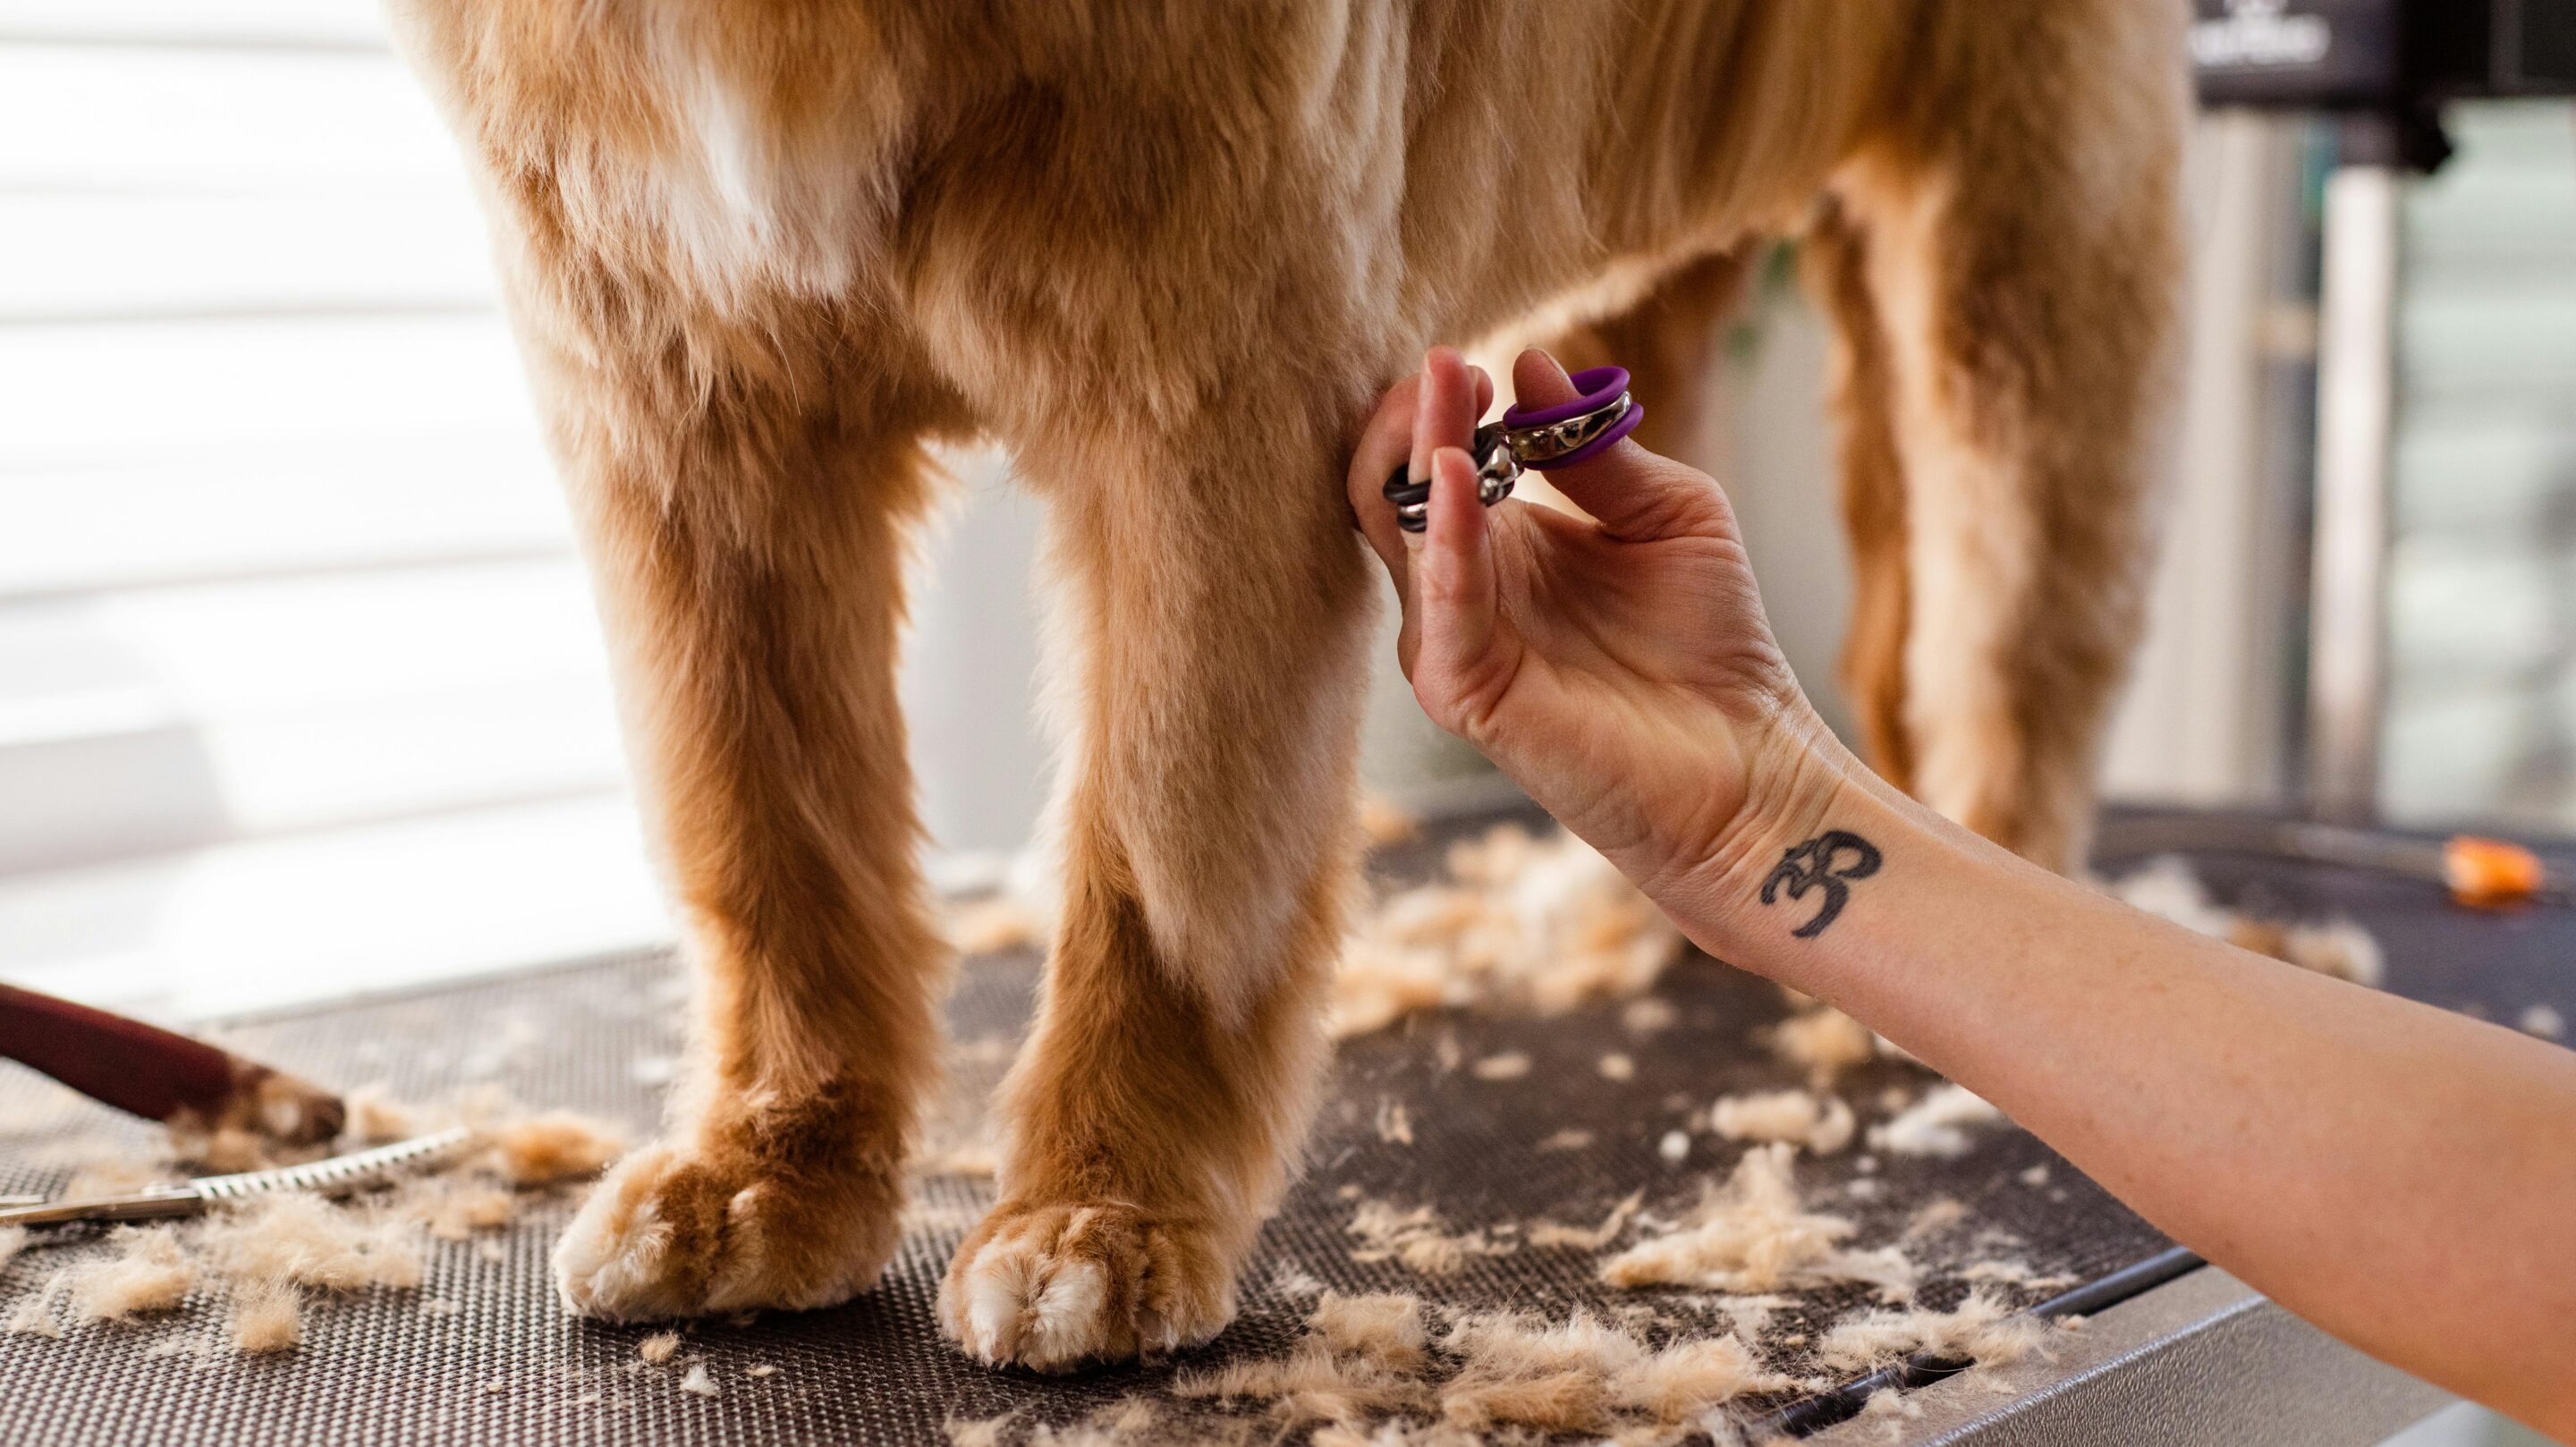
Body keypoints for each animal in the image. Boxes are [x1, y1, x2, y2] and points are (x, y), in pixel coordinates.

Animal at [386, 0, 2174, 1359]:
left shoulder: (1211, 385)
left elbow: (1167, 853)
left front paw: (1102, 1208)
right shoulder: (681, 398)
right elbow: (765, 836)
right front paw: (769, 1168)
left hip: (2024, 245)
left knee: (2017, 618)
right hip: (1635, 274)